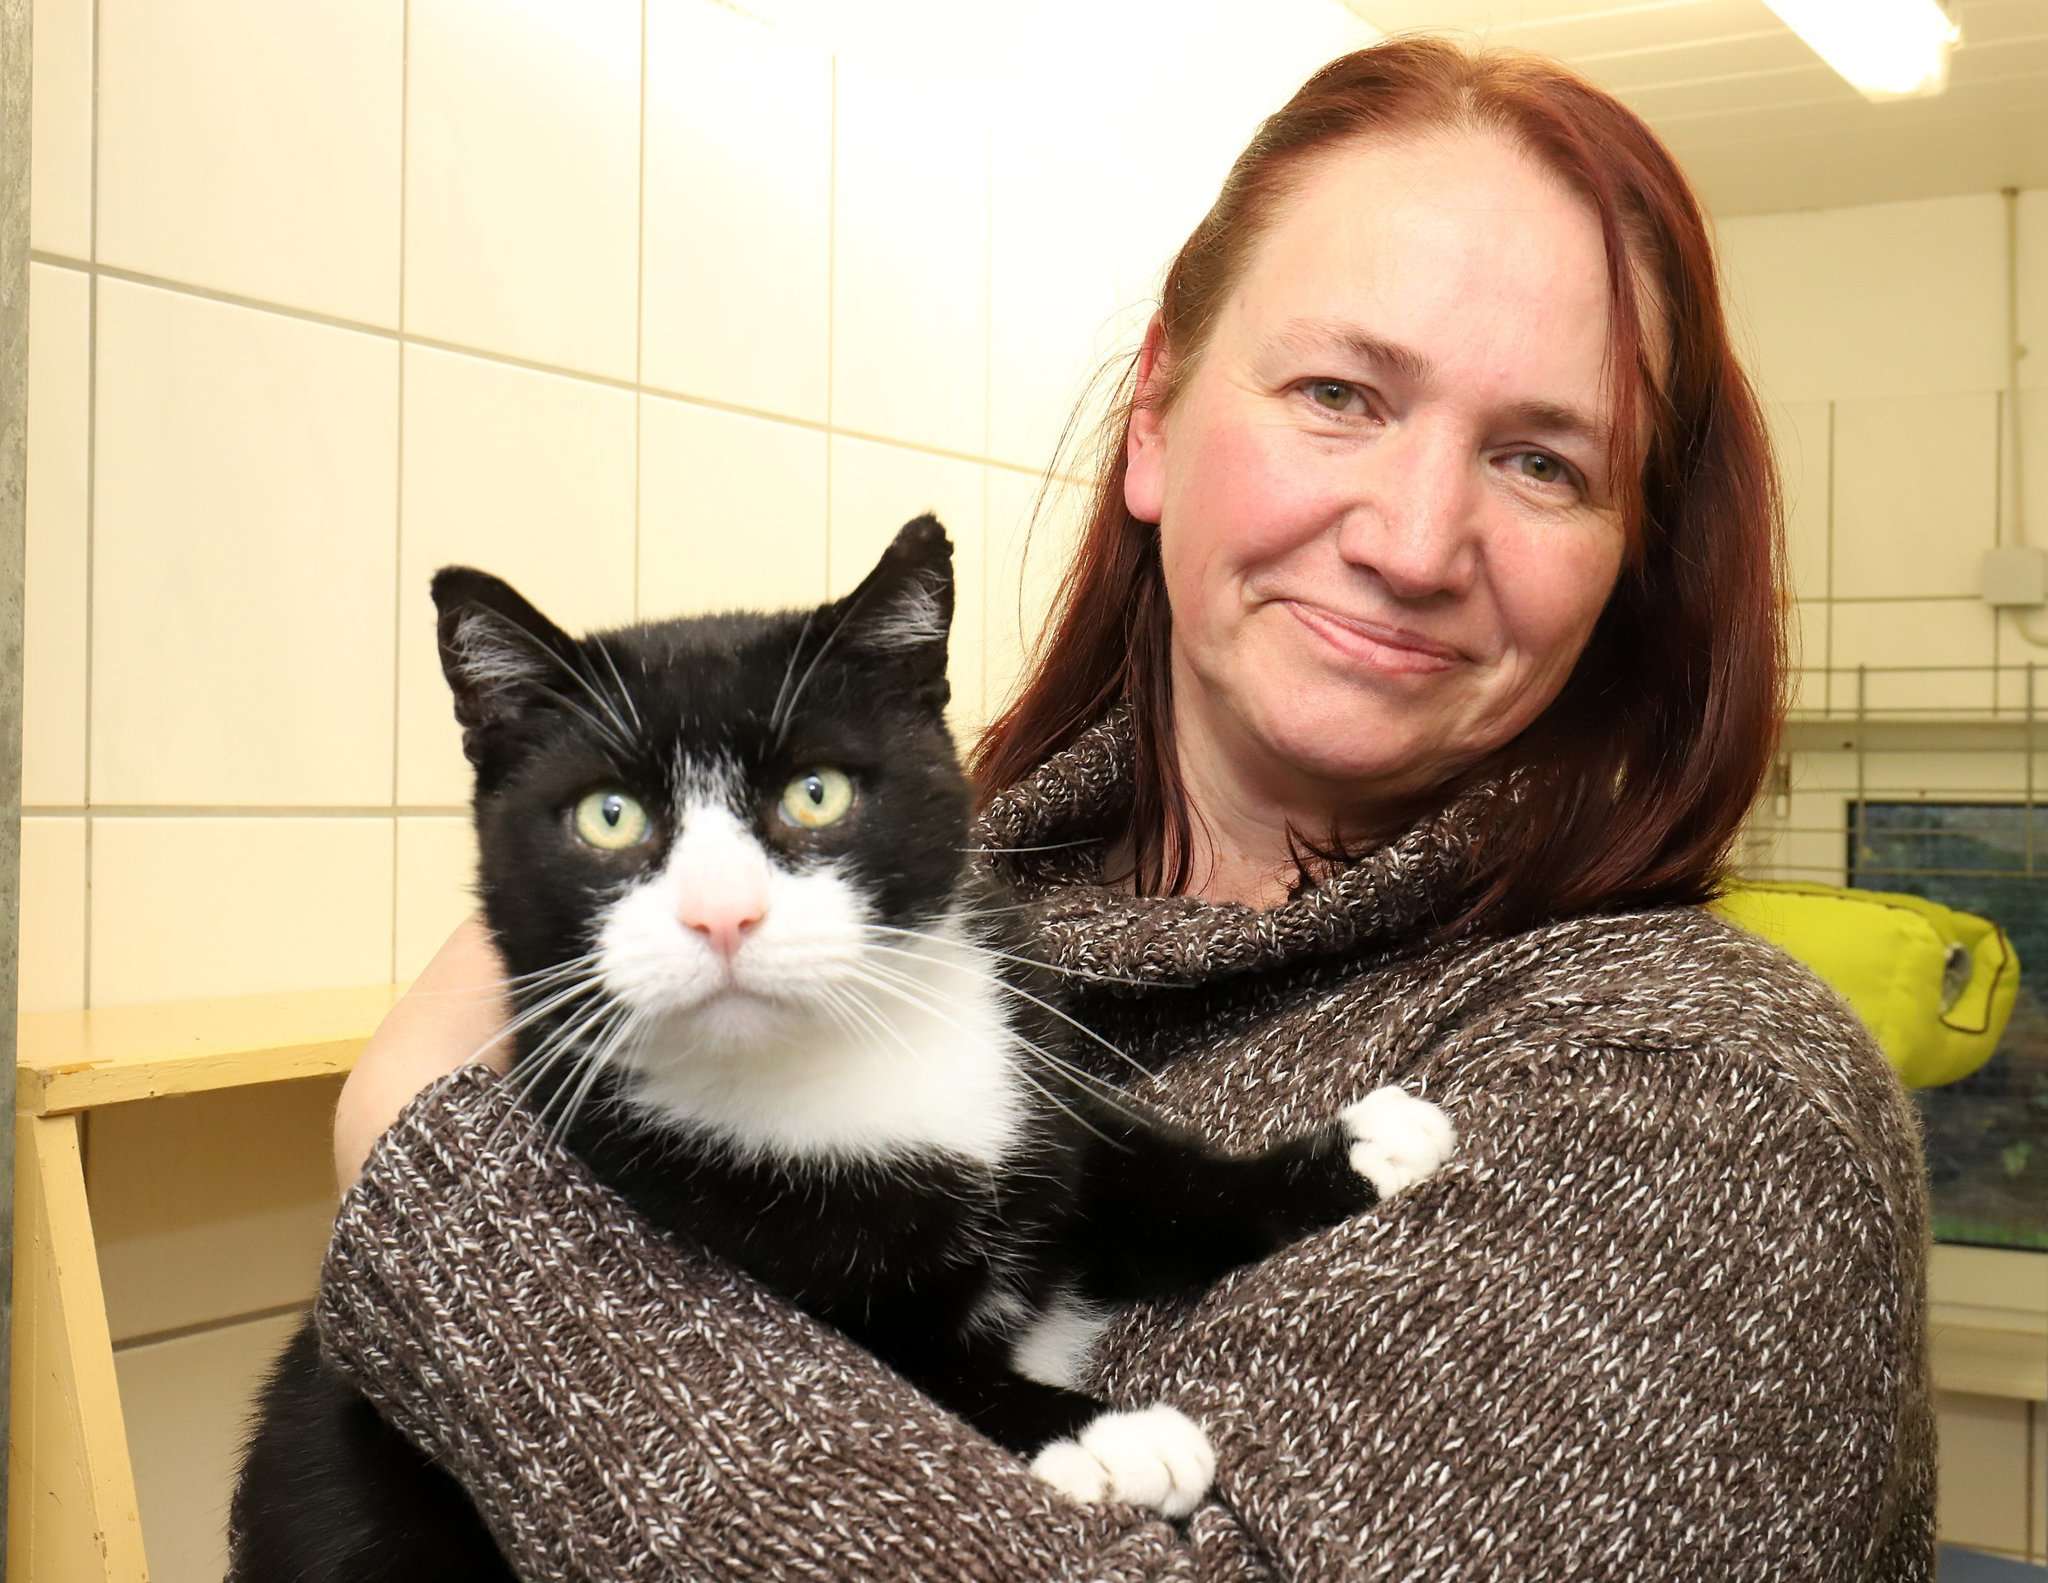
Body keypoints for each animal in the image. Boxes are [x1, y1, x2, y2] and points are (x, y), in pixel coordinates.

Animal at [228, 511, 1458, 1572]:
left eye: (815, 792)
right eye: (609, 816)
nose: (722, 914)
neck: (846, 1060)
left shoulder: (1027, 1083)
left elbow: (1146, 1170)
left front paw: (1362, 1151)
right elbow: (911, 1370)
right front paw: (1108, 1433)